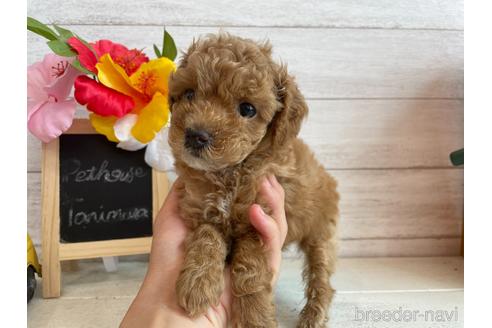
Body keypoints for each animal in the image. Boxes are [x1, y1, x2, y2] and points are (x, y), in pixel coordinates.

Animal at [120, 176, 286, 328]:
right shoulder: (197, 211)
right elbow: (207, 236)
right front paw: (198, 285)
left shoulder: (253, 221)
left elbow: (250, 267)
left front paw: (256, 316)